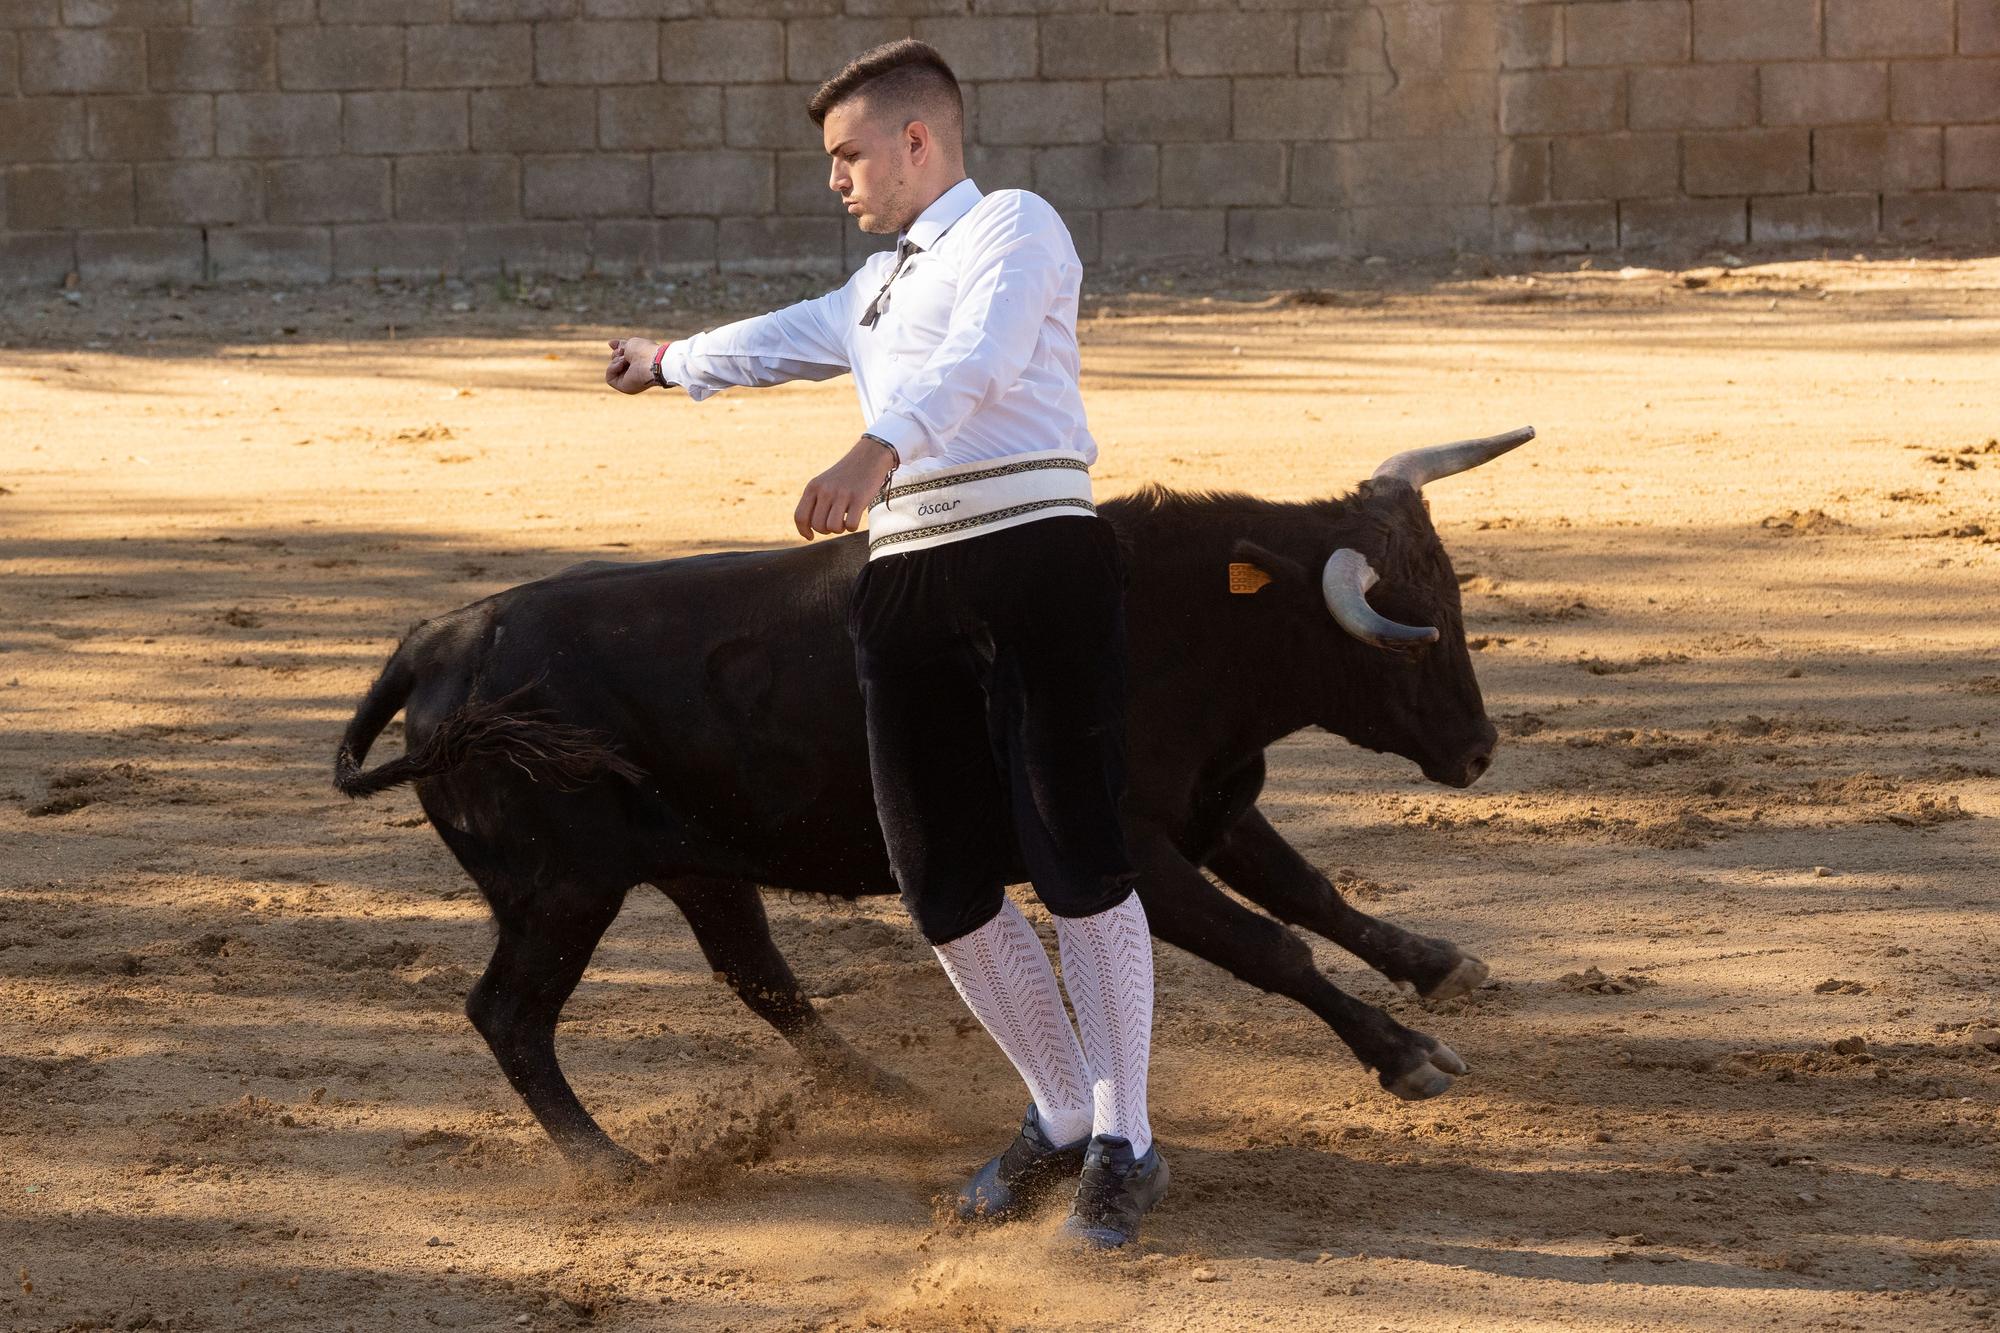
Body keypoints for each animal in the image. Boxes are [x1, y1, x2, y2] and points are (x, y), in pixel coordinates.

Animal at [340, 428, 1528, 1176]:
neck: (1171, 616)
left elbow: (1312, 894)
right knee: (511, 1014)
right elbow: (1271, 943)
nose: (1477, 753)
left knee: (758, 976)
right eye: (1402, 638)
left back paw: (895, 1096)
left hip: (691, 865)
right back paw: (616, 1165)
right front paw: (1406, 1058)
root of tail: (435, 641)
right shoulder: (1127, 850)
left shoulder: (1213, 807)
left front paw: (1442, 968)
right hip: (561, 890)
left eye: (1453, 599)